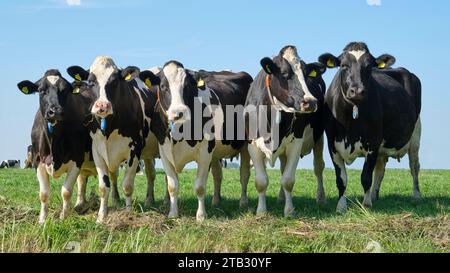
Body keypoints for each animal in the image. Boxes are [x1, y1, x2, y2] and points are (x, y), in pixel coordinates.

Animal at [16, 69, 96, 222]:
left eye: (65, 90)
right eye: (41, 90)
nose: (56, 111)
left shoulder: (77, 159)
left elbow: (66, 191)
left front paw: (63, 217)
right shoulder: (37, 161)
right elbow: (44, 193)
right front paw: (42, 220)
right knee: (82, 181)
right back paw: (79, 205)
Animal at [66, 56, 159, 222]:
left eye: (115, 82)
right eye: (91, 81)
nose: (102, 106)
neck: (110, 127)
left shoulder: (134, 150)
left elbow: (127, 185)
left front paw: (128, 213)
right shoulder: (98, 151)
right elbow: (104, 186)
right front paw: (101, 217)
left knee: (157, 174)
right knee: (142, 174)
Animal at [138, 60, 253, 220]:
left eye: (187, 86)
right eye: (163, 86)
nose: (178, 113)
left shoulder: (204, 152)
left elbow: (199, 187)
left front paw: (201, 216)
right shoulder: (164, 151)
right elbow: (172, 185)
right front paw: (173, 214)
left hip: (246, 145)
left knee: (244, 174)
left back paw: (243, 202)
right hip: (216, 153)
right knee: (218, 175)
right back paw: (216, 202)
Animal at [246, 44, 326, 216]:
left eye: (306, 75)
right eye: (284, 73)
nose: (310, 102)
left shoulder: (296, 142)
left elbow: (288, 180)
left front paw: (289, 211)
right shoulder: (252, 144)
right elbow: (261, 181)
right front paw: (261, 211)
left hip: (319, 137)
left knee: (318, 167)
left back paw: (321, 198)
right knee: (283, 167)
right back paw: (281, 198)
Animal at [316, 42, 422, 212]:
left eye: (369, 67)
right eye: (344, 65)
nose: (357, 90)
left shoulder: (373, 144)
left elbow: (366, 177)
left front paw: (366, 205)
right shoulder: (333, 145)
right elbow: (341, 179)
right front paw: (341, 206)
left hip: (415, 135)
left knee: (414, 166)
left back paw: (417, 195)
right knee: (380, 170)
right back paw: (374, 195)